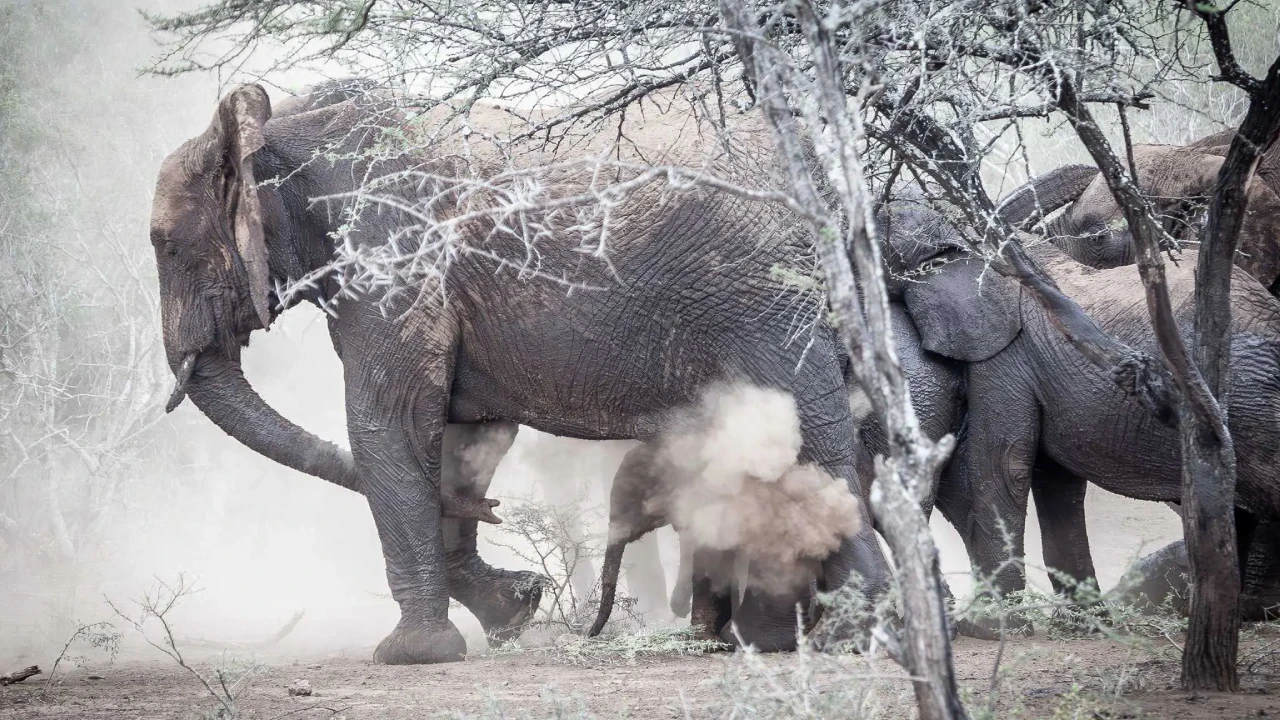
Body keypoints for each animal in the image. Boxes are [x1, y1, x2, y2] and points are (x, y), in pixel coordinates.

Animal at [150, 83, 889, 663]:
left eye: (166, 246)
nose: (530, 579)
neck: (278, 130)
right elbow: (460, 436)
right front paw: (512, 612)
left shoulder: (393, 259)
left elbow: (389, 423)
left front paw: (411, 655)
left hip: (760, 299)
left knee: (807, 445)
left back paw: (842, 635)